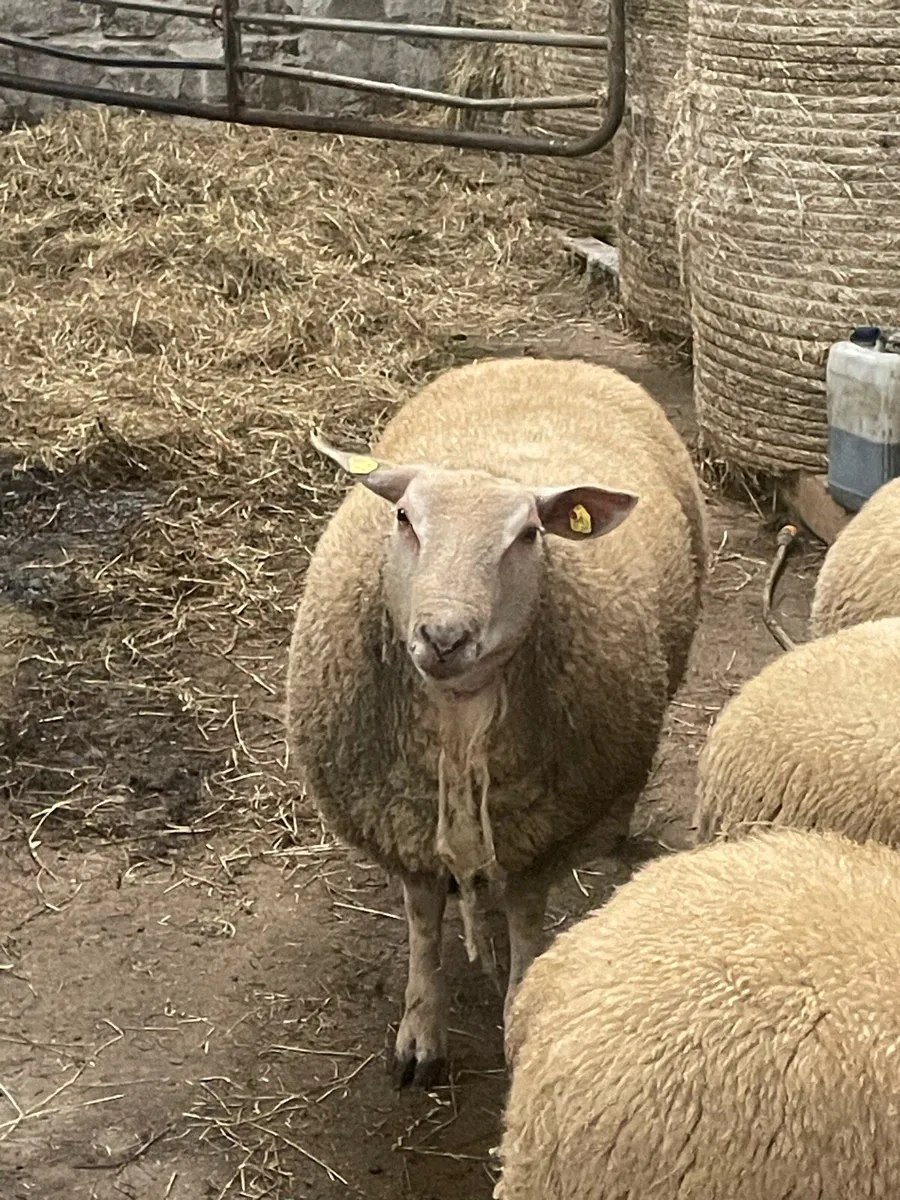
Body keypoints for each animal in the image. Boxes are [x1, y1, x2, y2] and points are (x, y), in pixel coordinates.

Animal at [286, 356, 706, 1087]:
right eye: (404, 517)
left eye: (529, 534)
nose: (444, 636)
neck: (459, 719)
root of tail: (546, 360)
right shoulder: (404, 825)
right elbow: (424, 927)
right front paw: (420, 1035)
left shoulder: (541, 835)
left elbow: (526, 923)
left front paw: (516, 1020)